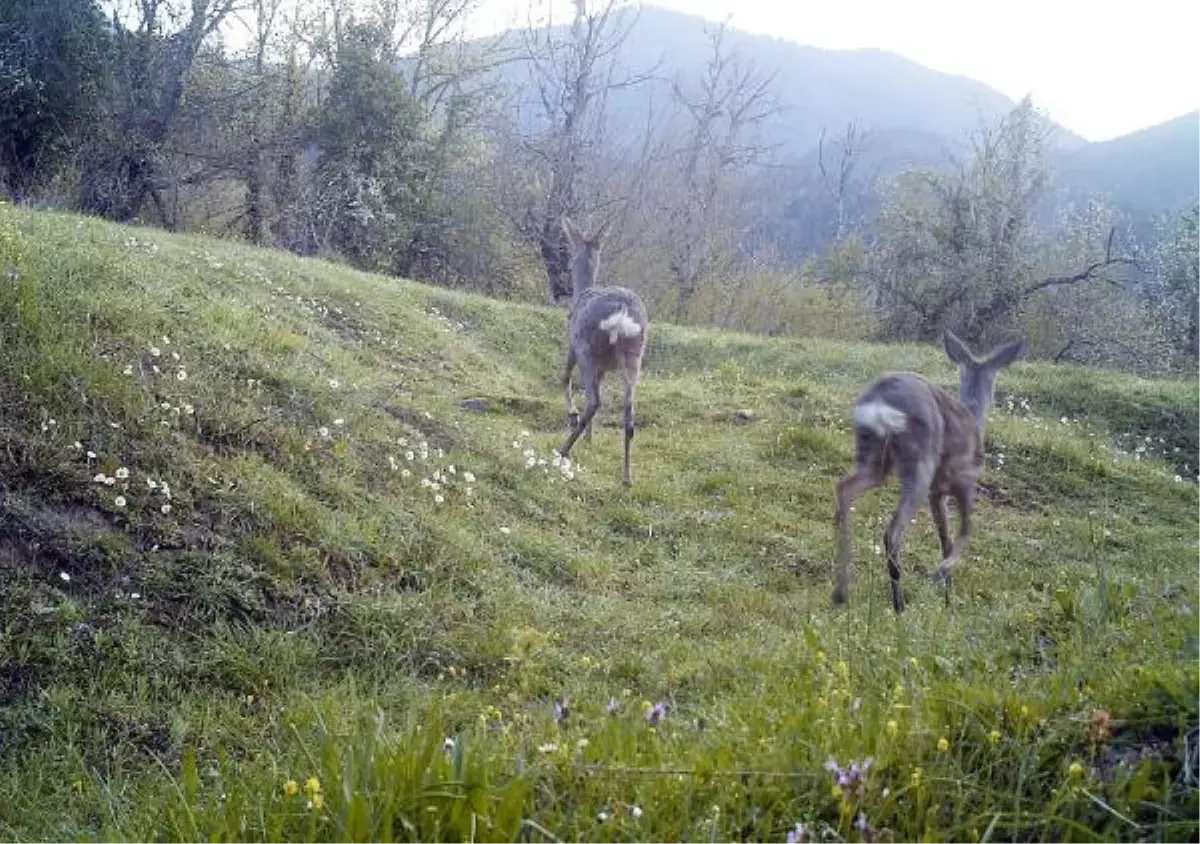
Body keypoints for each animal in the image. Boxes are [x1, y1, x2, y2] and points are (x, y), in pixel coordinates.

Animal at [554, 214, 648, 485]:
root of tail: (622, 311)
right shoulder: (604, 367)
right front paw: (589, 437)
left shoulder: (573, 343)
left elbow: (565, 378)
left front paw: (573, 415)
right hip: (634, 354)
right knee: (629, 411)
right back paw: (627, 477)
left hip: (587, 347)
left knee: (595, 400)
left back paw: (564, 450)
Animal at [835, 331, 1022, 614]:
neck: (973, 415)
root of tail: (880, 401)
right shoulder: (964, 481)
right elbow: (963, 533)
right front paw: (944, 580)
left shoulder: (937, 493)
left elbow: (945, 539)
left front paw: (947, 597)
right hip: (919, 462)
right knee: (892, 531)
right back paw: (899, 605)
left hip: (874, 458)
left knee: (844, 490)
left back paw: (841, 591)